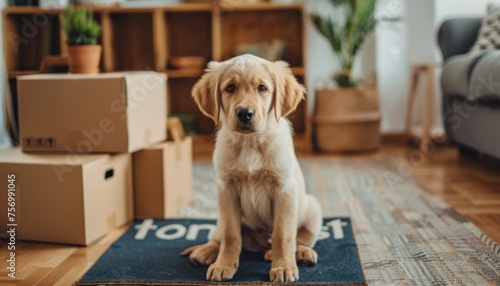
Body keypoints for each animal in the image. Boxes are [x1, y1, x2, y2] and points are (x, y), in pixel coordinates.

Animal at [182, 54, 322, 284]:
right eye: (230, 88)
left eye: (262, 88)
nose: (245, 114)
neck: (250, 143)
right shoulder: (226, 189)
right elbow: (230, 235)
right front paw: (223, 265)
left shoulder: (284, 189)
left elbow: (283, 234)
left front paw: (283, 267)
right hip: (220, 215)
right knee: (217, 236)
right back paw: (205, 252)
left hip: (312, 208)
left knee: (300, 238)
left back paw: (300, 253)